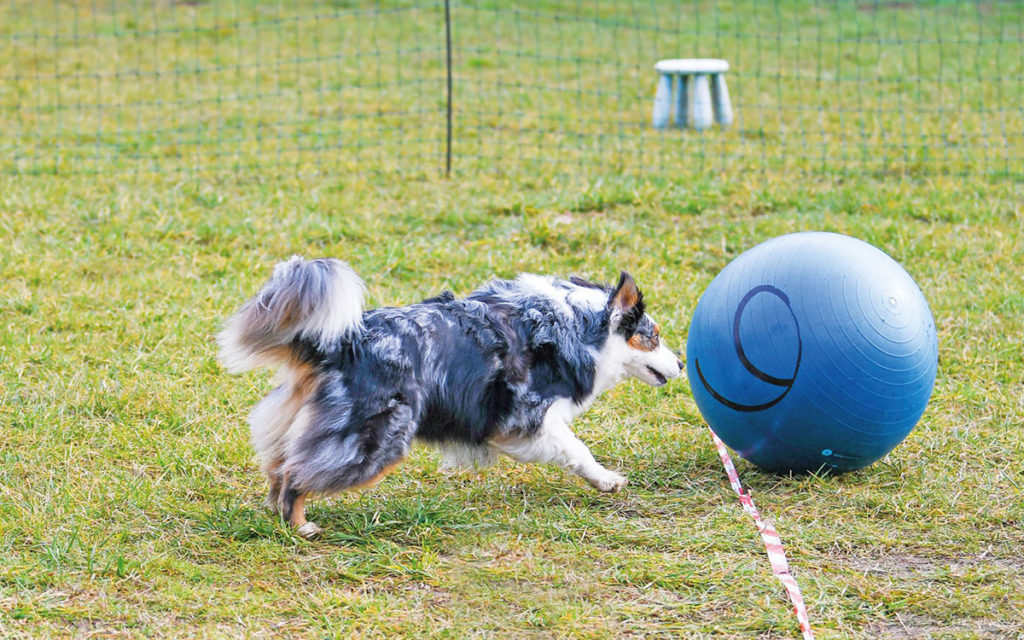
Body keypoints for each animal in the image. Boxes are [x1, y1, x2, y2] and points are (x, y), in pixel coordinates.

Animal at [218, 257, 679, 536]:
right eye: (652, 336)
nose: (680, 364)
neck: (581, 326)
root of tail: (344, 340)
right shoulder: (527, 417)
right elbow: (576, 448)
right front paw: (607, 479)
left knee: (280, 465)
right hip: (377, 436)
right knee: (298, 472)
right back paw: (301, 526)